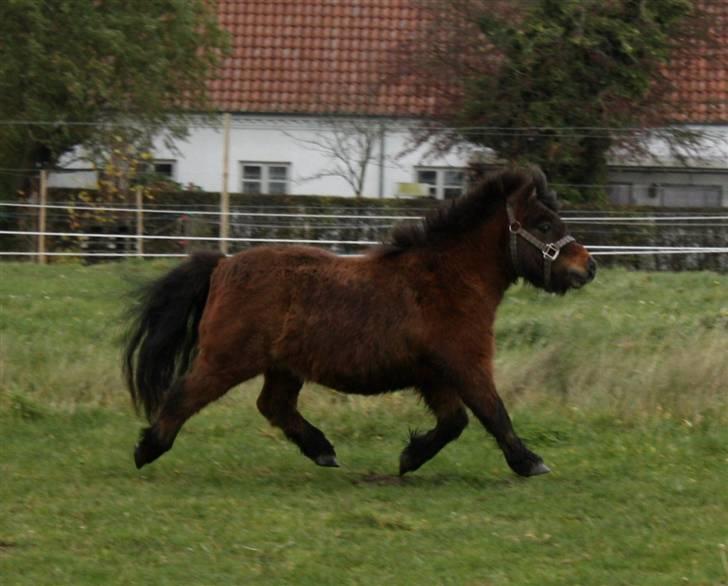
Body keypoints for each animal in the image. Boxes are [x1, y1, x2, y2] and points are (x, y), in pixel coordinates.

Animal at [123, 167, 592, 476]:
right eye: (544, 225)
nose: (587, 267)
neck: (445, 279)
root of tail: (222, 265)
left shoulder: (434, 374)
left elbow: (454, 422)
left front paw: (409, 458)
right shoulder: (465, 364)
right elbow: (494, 412)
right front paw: (530, 462)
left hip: (283, 367)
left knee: (274, 406)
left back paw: (322, 450)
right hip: (227, 359)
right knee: (184, 396)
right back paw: (147, 449)